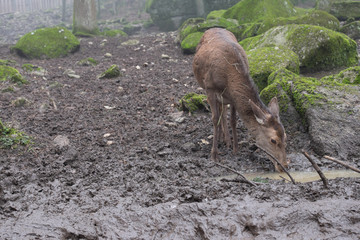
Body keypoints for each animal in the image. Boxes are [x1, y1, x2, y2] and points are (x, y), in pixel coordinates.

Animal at [193, 27, 288, 171]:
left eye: (285, 136)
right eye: (273, 140)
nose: (284, 166)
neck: (228, 76)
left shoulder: (232, 97)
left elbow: (233, 120)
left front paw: (235, 149)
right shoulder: (210, 88)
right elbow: (214, 119)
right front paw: (214, 155)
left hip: (223, 97)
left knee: (223, 110)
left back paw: (226, 139)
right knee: (219, 113)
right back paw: (220, 139)